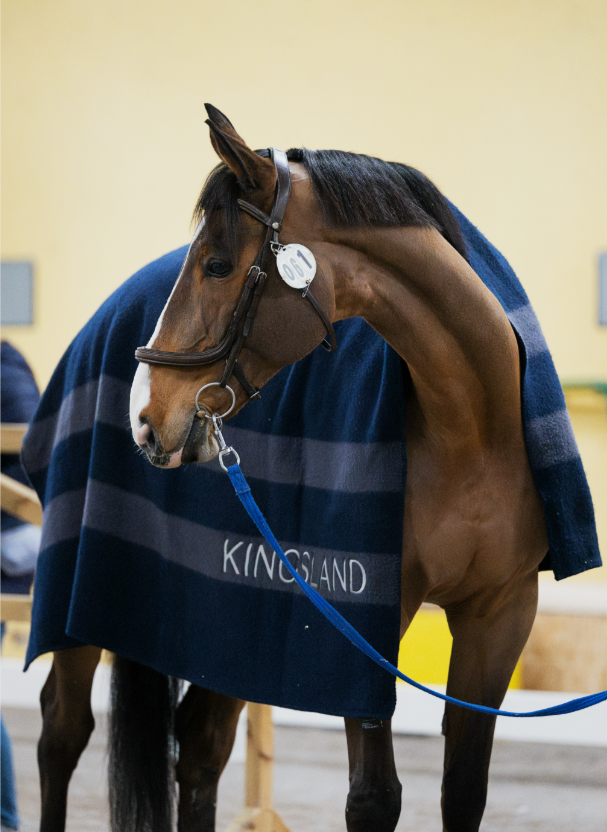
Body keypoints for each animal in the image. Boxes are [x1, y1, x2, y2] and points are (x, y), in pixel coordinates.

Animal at [37, 104, 551, 832]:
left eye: (217, 264)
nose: (144, 415)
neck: (470, 427)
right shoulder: (360, 619)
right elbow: (374, 798)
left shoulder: (500, 616)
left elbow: (463, 793)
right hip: (80, 601)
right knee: (63, 730)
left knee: (199, 747)